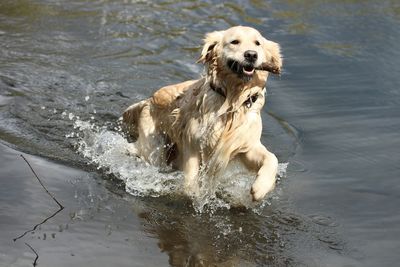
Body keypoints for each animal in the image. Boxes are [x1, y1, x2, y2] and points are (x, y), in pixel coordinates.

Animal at [122, 26, 282, 202]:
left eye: (257, 43)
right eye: (234, 42)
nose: (252, 55)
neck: (231, 99)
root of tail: (148, 100)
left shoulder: (245, 145)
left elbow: (272, 158)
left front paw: (261, 188)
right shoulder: (193, 143)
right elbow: (191, 176)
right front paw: (194, 195)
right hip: (154, 146)